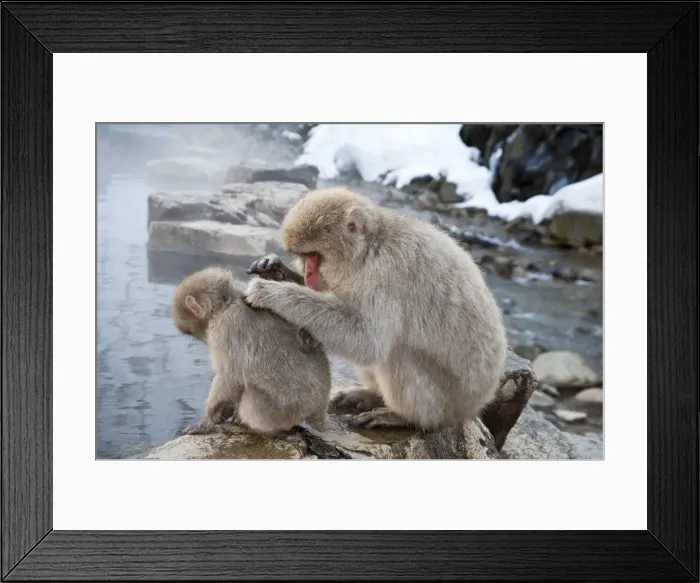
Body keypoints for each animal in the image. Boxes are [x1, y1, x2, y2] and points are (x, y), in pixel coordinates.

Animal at [171, 266, 331, 436]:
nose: (204, 339)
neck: (228, 302)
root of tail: (318, 409)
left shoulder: (225, 328)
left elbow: (230, 377)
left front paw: (207, 420)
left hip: (279, 411)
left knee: (249, 389)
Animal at [243, 187, 508, 432]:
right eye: (303, 256)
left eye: (315, 255)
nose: (308, 273)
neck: (369, 248)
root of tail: (478, 402)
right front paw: (275, 270)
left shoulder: (386, 273)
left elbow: (367, 340)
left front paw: (272, 293)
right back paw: (372, 395)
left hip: (445, 402)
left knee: (397, 352)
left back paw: (403, 417)